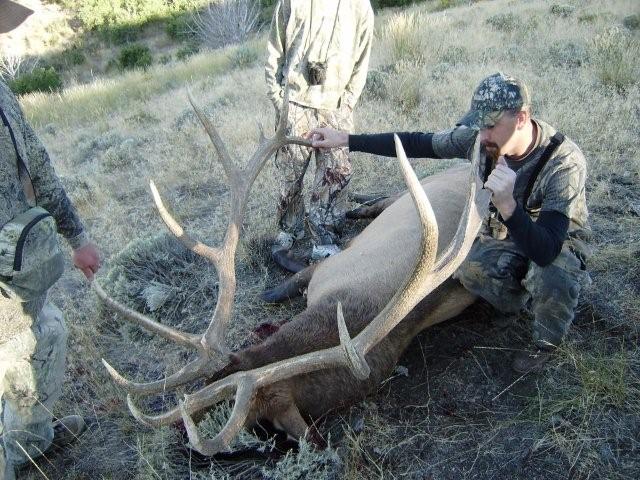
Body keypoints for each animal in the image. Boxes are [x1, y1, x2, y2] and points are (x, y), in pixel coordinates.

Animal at [94, 95, 490, 456]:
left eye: (227, 410)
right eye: (212, 378)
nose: (177, 430)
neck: (348, 316)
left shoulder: (332, 269)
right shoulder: (329, 267)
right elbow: (293, 278)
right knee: (379, 201)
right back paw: (356, 205)